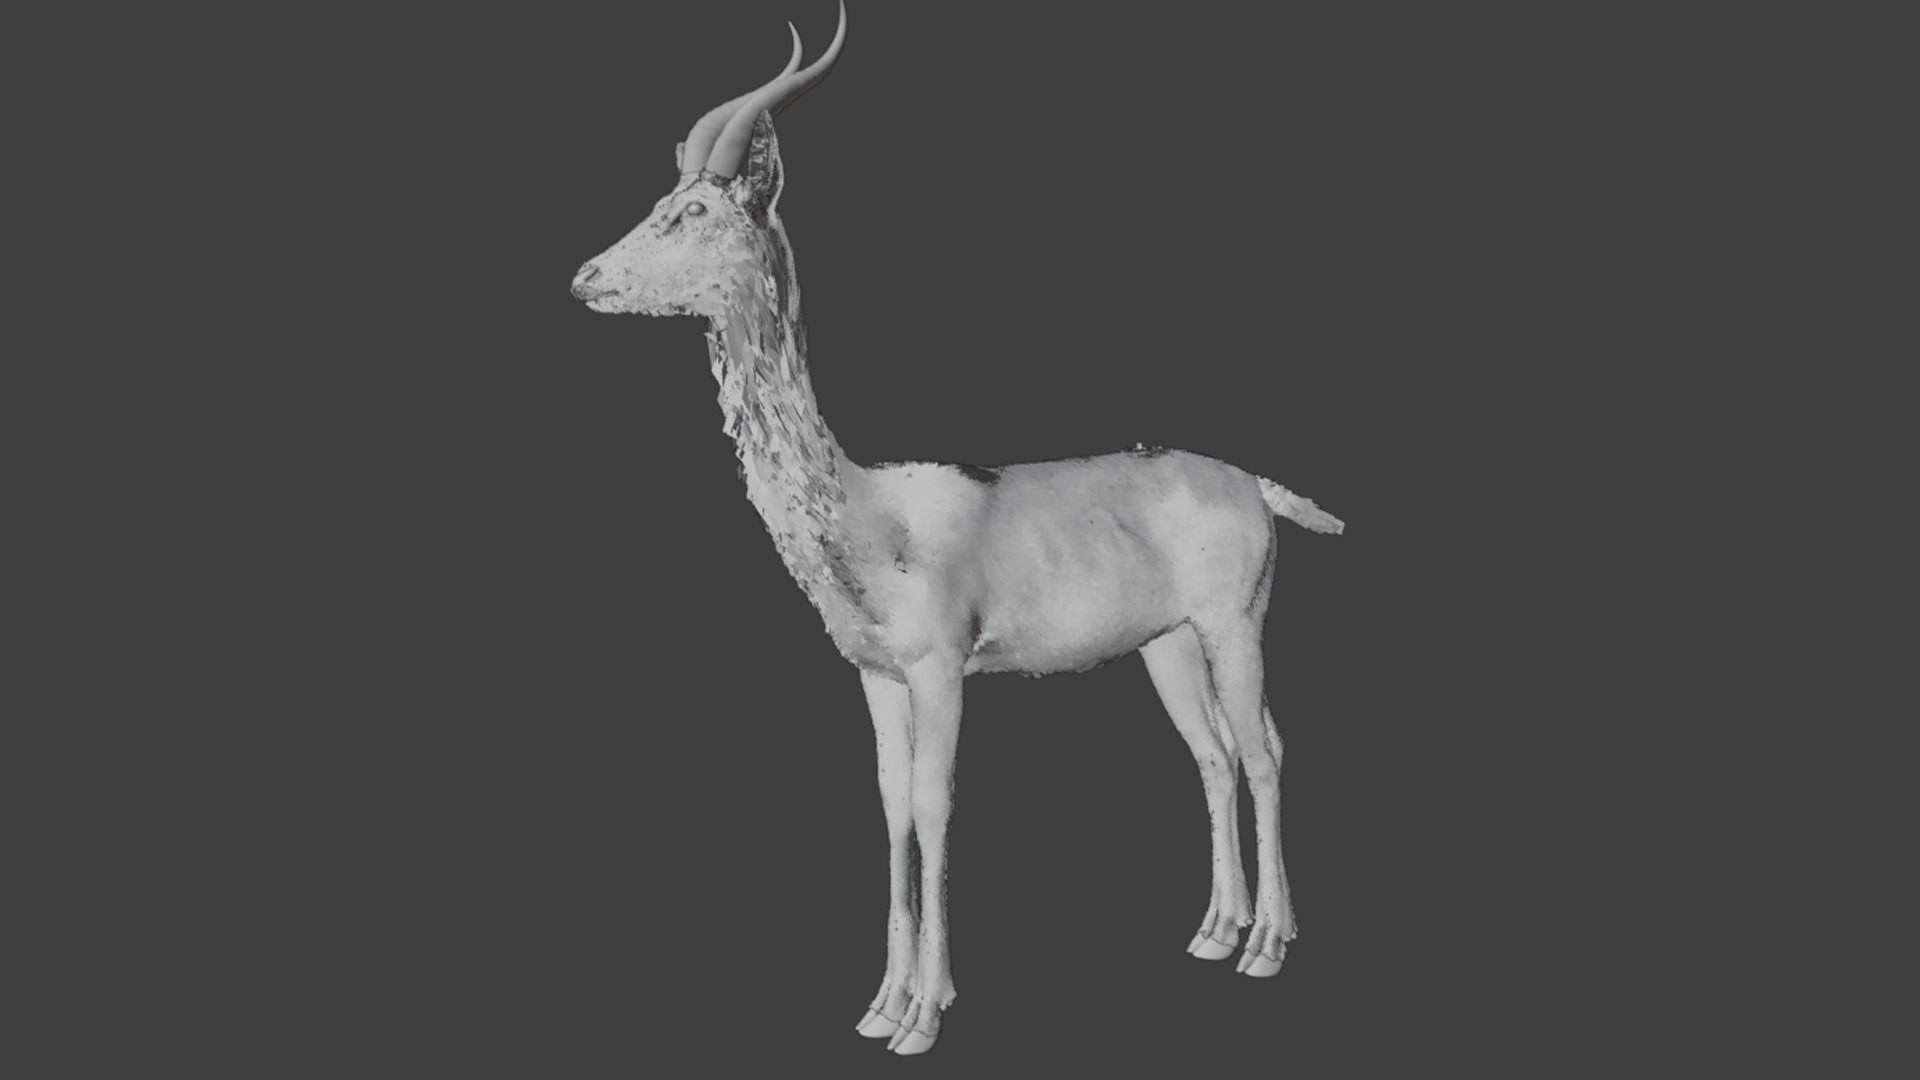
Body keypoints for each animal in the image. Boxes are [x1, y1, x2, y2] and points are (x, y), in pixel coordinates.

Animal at [571, 3, 1344, 1055]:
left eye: (692, 212)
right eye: (663, 199)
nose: (585, 277)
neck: (867, 514)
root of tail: (1254, 486)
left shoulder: (942, 671)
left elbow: (935, 813)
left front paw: (924, 1018)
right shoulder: (876, 676)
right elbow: (892, 811)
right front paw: (876, 1006)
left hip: (1235, 625)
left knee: (1266, 750)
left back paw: (1266, 945)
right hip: (1168, 646)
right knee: (1215, 755)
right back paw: (1213, 934)